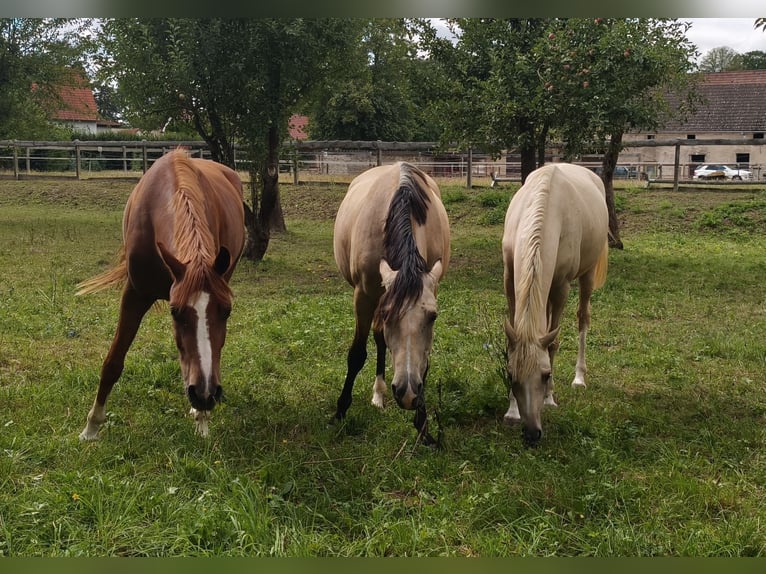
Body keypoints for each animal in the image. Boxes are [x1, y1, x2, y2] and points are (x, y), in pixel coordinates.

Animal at [76, 149, 245, 440]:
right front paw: (91, 428)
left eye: (227, 311)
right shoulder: (134, 294)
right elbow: (113, 362)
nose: (205, 394)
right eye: (175, 312)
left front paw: (202, 420)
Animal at [332, 161, 450, 445]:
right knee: (378, 339)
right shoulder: (364, 297)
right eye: (388, 316)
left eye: (433, 317)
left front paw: (422, 425)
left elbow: (424, 360)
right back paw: (377, 393)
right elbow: (357, 354)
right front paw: (340, 411)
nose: (407, 392)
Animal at [502, 163, 608, 447]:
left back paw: (579, 377)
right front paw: (511, 409)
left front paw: (549, 398)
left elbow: (553, 343)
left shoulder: (561, 287)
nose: (532, 433)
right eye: (511, 375)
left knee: (582, 318)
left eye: (546, 374)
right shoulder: (510, 279)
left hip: (586, 276)